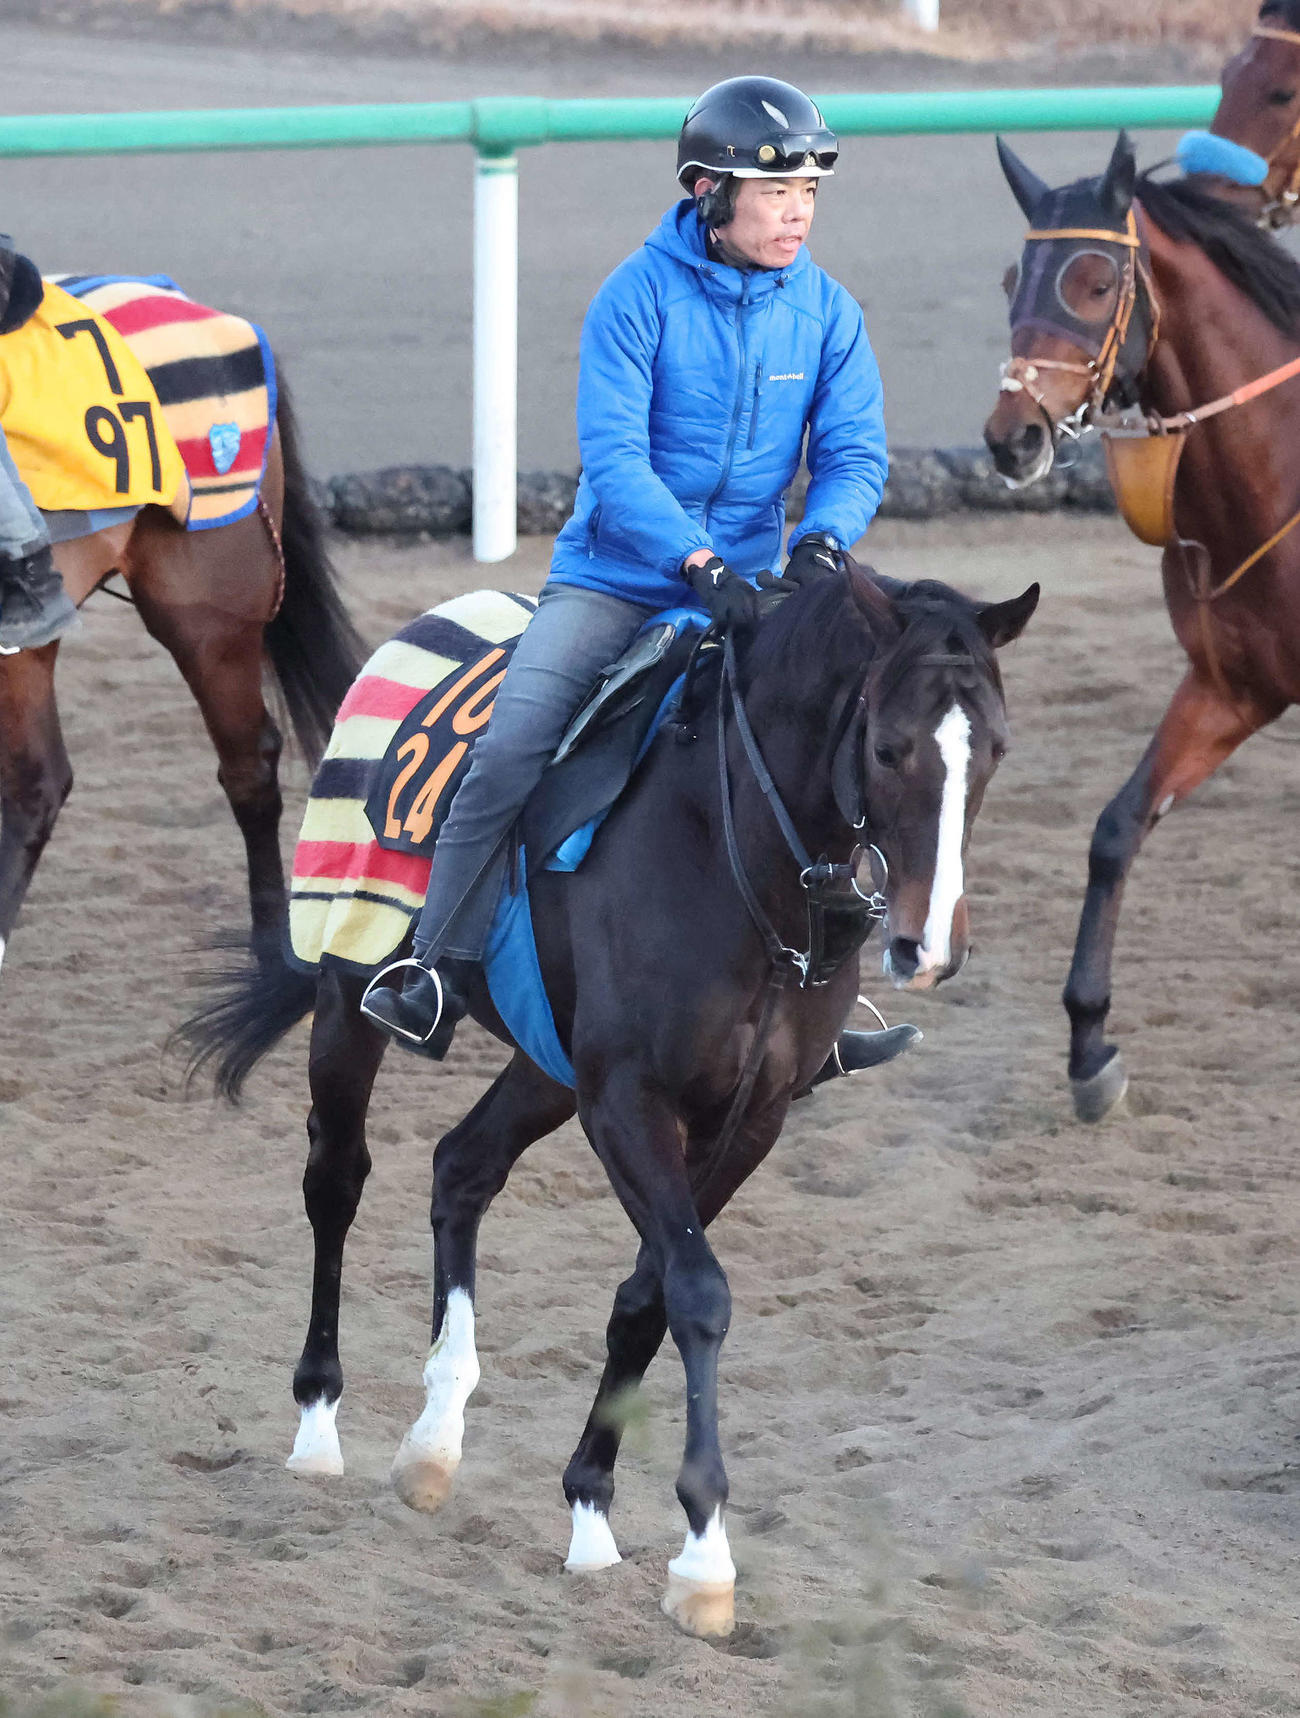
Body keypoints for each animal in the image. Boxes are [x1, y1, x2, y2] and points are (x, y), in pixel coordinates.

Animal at [180, 561, 1037, 1639]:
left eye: (995, 748)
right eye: (889, 746)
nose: (928, 945)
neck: (731, 851)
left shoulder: (746, 1118)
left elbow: (648, 1296)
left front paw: (591, 1508)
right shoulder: (627, 1097)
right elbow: (699, 1292)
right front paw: (704, 1555)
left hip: (547, 1063)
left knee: (461, 1167)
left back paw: (434, 1437)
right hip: (349, 987)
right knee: (335, 1178)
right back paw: (317, 1422)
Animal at [983, 131, 1300, 1122]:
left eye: (1094, 281)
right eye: (1013, 278)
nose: (1011, 437)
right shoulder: (1233, 686)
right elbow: (1116, 831)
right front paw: (1089, 1041)